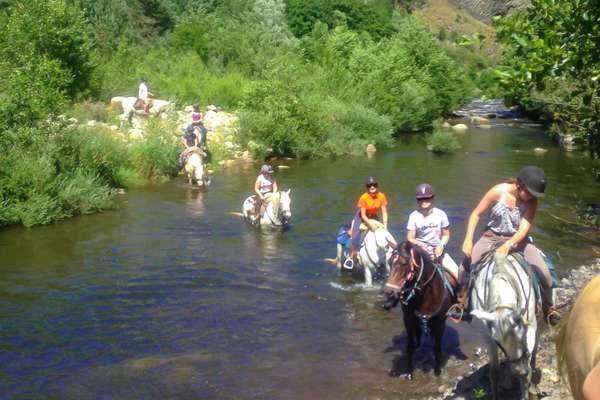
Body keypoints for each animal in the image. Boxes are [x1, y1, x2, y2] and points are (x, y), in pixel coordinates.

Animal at [384, 241, 454, 378]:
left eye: (403, 263)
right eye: (389, 262)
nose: (390, 293)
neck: (426, 294)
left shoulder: (440, 322)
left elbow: (437, 347)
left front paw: (437, 371)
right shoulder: (408, 319)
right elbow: (410, 346)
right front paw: (409, 373)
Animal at [468, 253, 540, 400]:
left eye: (523, 335)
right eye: (498, 342)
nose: (520, 371)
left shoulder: (531, 327)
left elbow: (527, 373)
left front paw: (526, 392)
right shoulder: (488, 337)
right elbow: (494, 372)